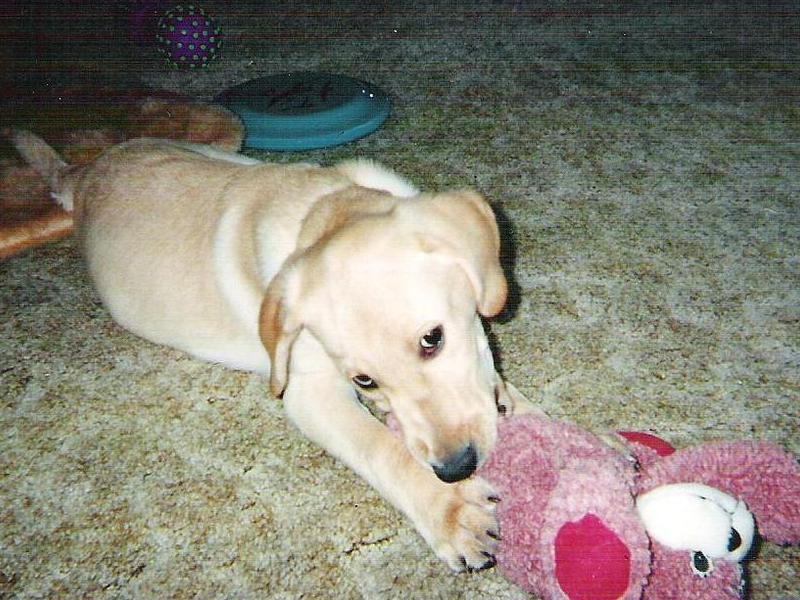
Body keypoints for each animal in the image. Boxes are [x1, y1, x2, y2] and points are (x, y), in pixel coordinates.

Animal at [12, 131, 528, 572]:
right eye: (364, 380)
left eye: (432, 339)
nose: (455, 468)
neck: (324, 207)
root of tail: (85, 172)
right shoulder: (309, 393)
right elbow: (382, 447)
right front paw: (450, 509)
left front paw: (515, 400)